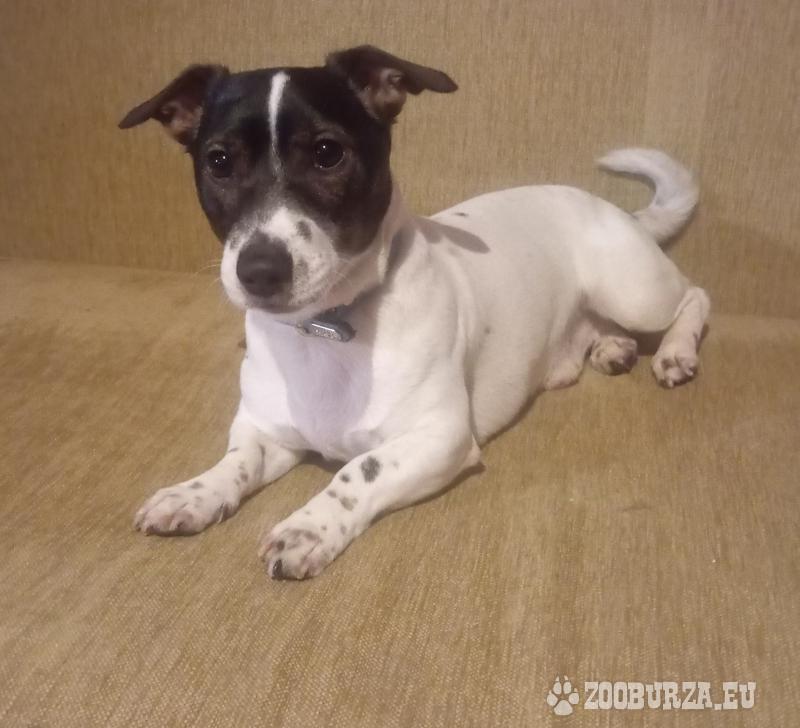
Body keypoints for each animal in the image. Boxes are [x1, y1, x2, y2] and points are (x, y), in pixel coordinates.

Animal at [120, 45, 710, 579]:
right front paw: (194, 492)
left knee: (695, 296)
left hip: (634, 291)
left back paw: (675, 353)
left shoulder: (440, 436)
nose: (259, 270)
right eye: (218, 161)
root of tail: (619, 212)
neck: (325, 329)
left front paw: (307, 528)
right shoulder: (266, 429)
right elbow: (237, 460)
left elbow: (357, 469)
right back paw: (613, 347)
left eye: (327, 153)